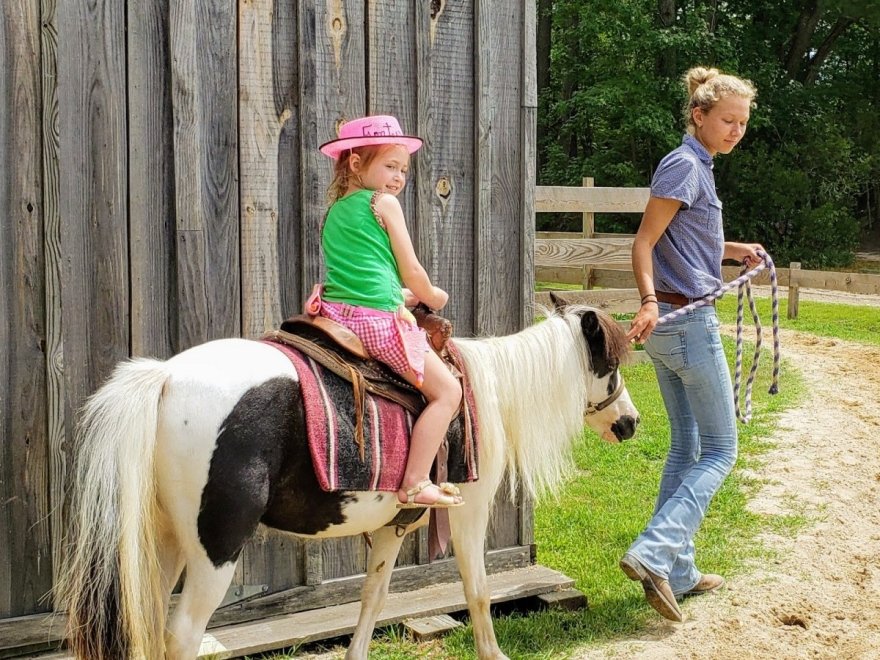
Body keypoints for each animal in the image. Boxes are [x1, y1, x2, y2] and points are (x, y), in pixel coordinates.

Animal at [58, 306, 640, 656]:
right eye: (610, 367)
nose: (631, 422)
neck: (487, 390)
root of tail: (164, 377)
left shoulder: (392, 528)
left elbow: (373, 598)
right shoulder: (469, 513)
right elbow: (477, 590)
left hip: (165, 541)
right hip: (214, 550)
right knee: (182, 636)